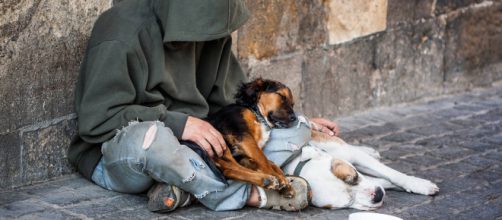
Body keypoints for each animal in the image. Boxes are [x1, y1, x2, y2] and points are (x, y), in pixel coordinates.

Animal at [264, 115, 438, 210]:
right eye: (348, 202)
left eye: (354, 177)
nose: (377, 195)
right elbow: (384, 180)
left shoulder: (353, 157)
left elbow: (392, 174)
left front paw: (419, 184)